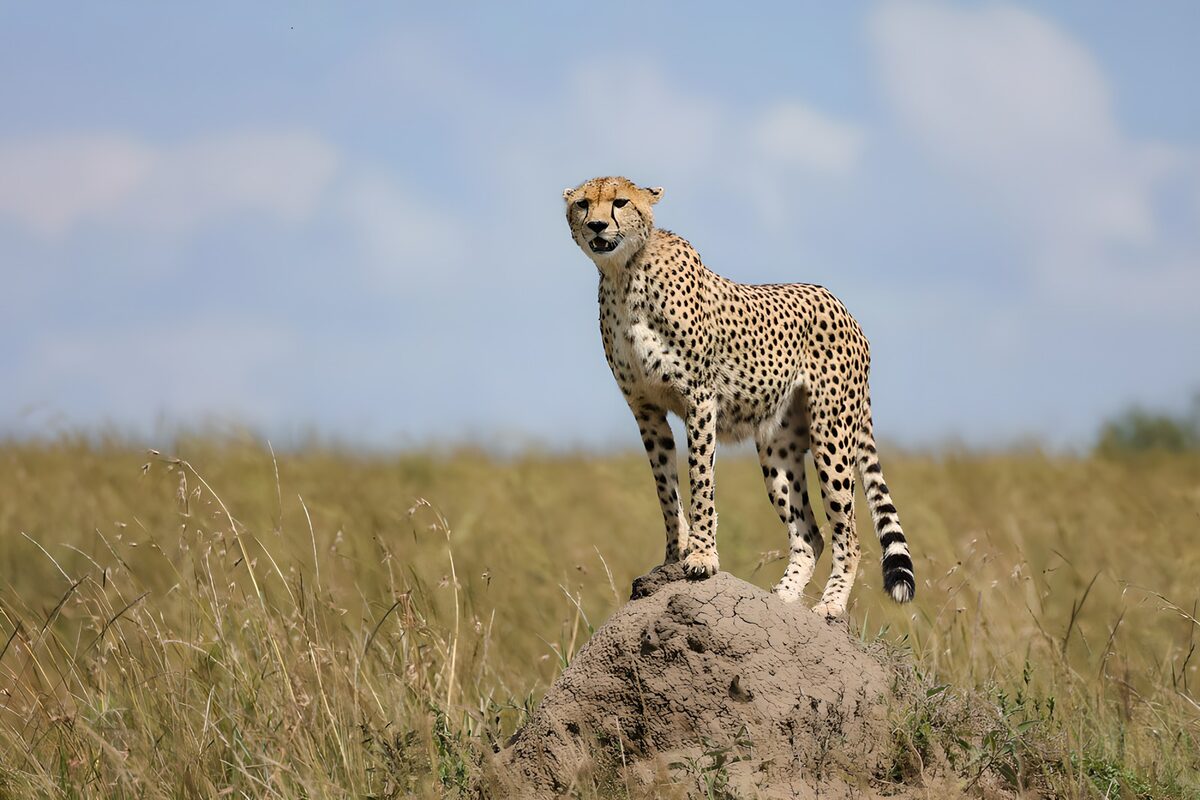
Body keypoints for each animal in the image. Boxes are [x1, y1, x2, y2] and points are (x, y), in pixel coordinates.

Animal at [563, 175, 915, 618]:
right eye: (583, 203)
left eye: (620, 202)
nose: (596, 225)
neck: (626, 274)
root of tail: (843, 308)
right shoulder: (645, 409)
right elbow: (665, 487)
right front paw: (672, 557)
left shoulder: (699, 399)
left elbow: (700, 479)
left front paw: (701, 557)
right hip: (779, 448)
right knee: (809, 535)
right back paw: (779, 600)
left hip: (831, 433)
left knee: (847, 534)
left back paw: (830, 605)